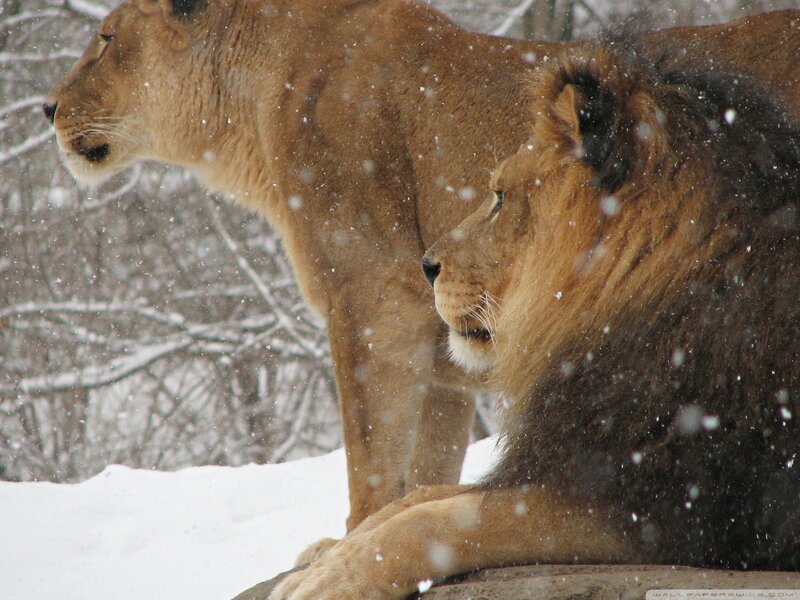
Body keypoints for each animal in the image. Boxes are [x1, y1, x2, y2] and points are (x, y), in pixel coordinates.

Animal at [44, 0, 800, 535]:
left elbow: (372, 469)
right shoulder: (445, 353)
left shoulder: (374, 299)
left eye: (106, 37)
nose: (47, 106)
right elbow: (426, 469)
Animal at [269, 42, 800, 599]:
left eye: (501, 197)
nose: (427, 265)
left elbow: (437, 522)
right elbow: (421, 498)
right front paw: (324, 556)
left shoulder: (660, 503)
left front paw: (328, 581)